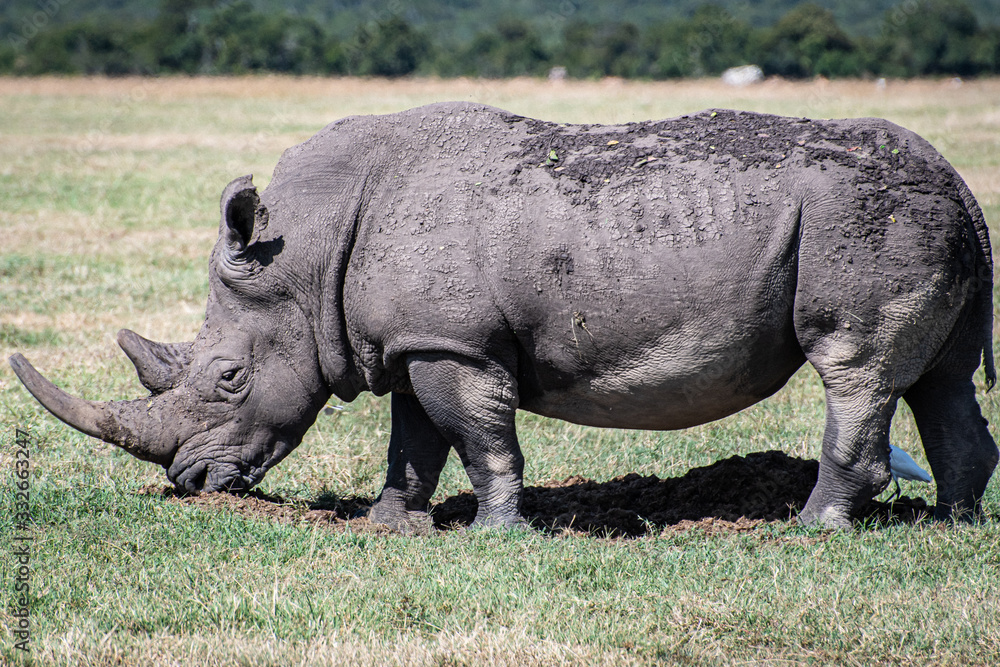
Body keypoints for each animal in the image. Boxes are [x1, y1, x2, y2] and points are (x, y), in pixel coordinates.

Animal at [10, 102, 998, 529]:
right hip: (917, 219)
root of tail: (959, 181)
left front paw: (496, 534)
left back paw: (811, 529)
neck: (307, 250)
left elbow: (478, 435)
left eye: (228, 377)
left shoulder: (456, 342)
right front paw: (391, 527)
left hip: (862, 218)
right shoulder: (412, 339)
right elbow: (413, 437)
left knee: (854, 365)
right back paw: (951, 525)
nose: (190, 484)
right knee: (940, 378)